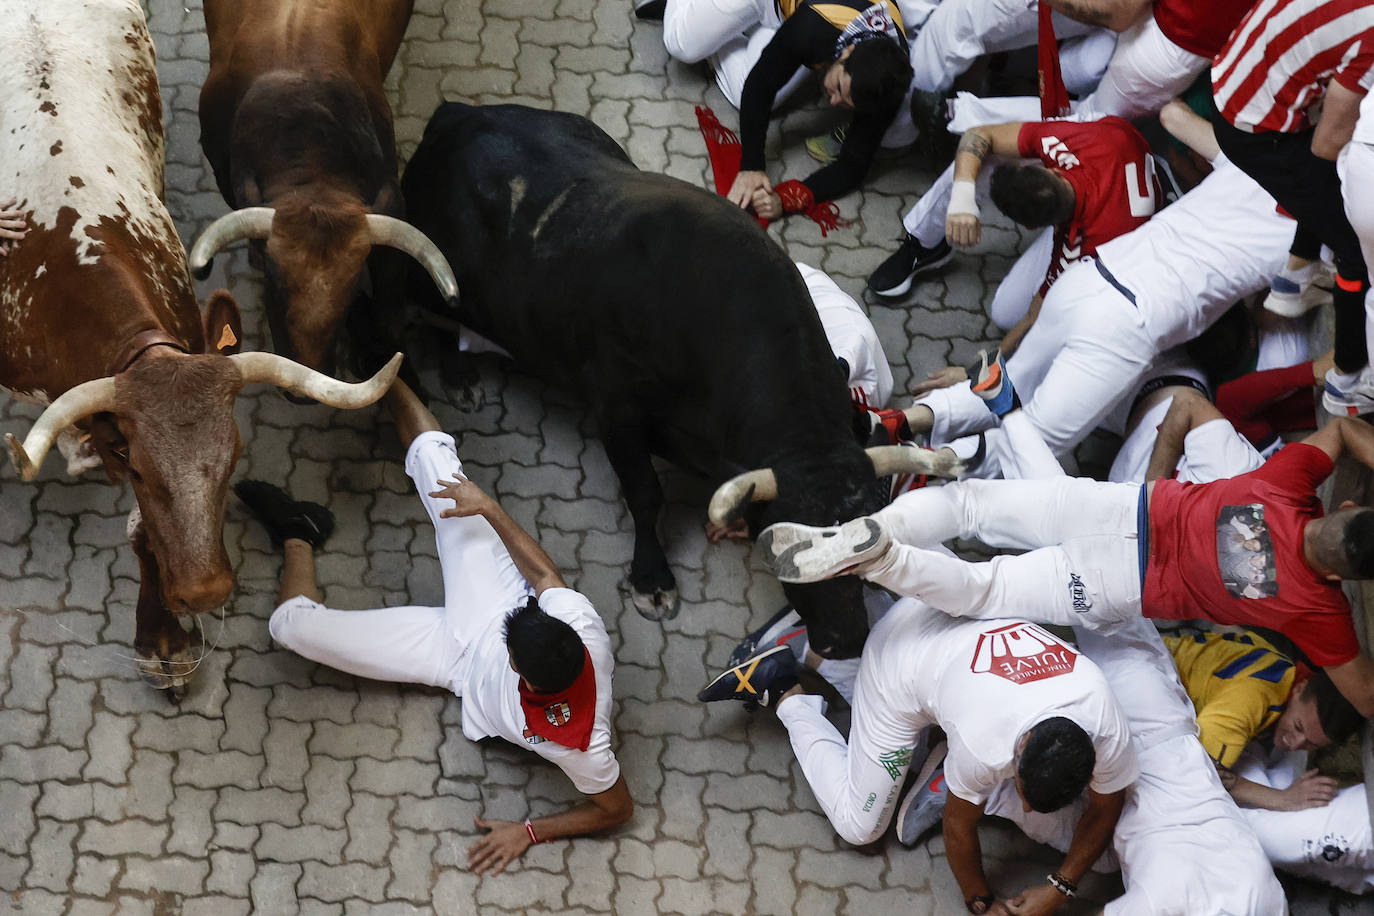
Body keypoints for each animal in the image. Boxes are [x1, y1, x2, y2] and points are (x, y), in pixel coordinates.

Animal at [0, 0, 401, 697]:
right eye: (137, 465)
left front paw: (165, 637)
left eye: (232, 455)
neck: (61, 252)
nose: (208, 590)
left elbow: (142, 533)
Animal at [398, 102, 890, 659]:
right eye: (784, 548)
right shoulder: (617, 409)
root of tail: (457, 113)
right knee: (436, 311)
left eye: (868, 539)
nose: (845, 639)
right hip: (432, 275)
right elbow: (645, 493)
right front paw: (653, 580)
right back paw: (459, 374)